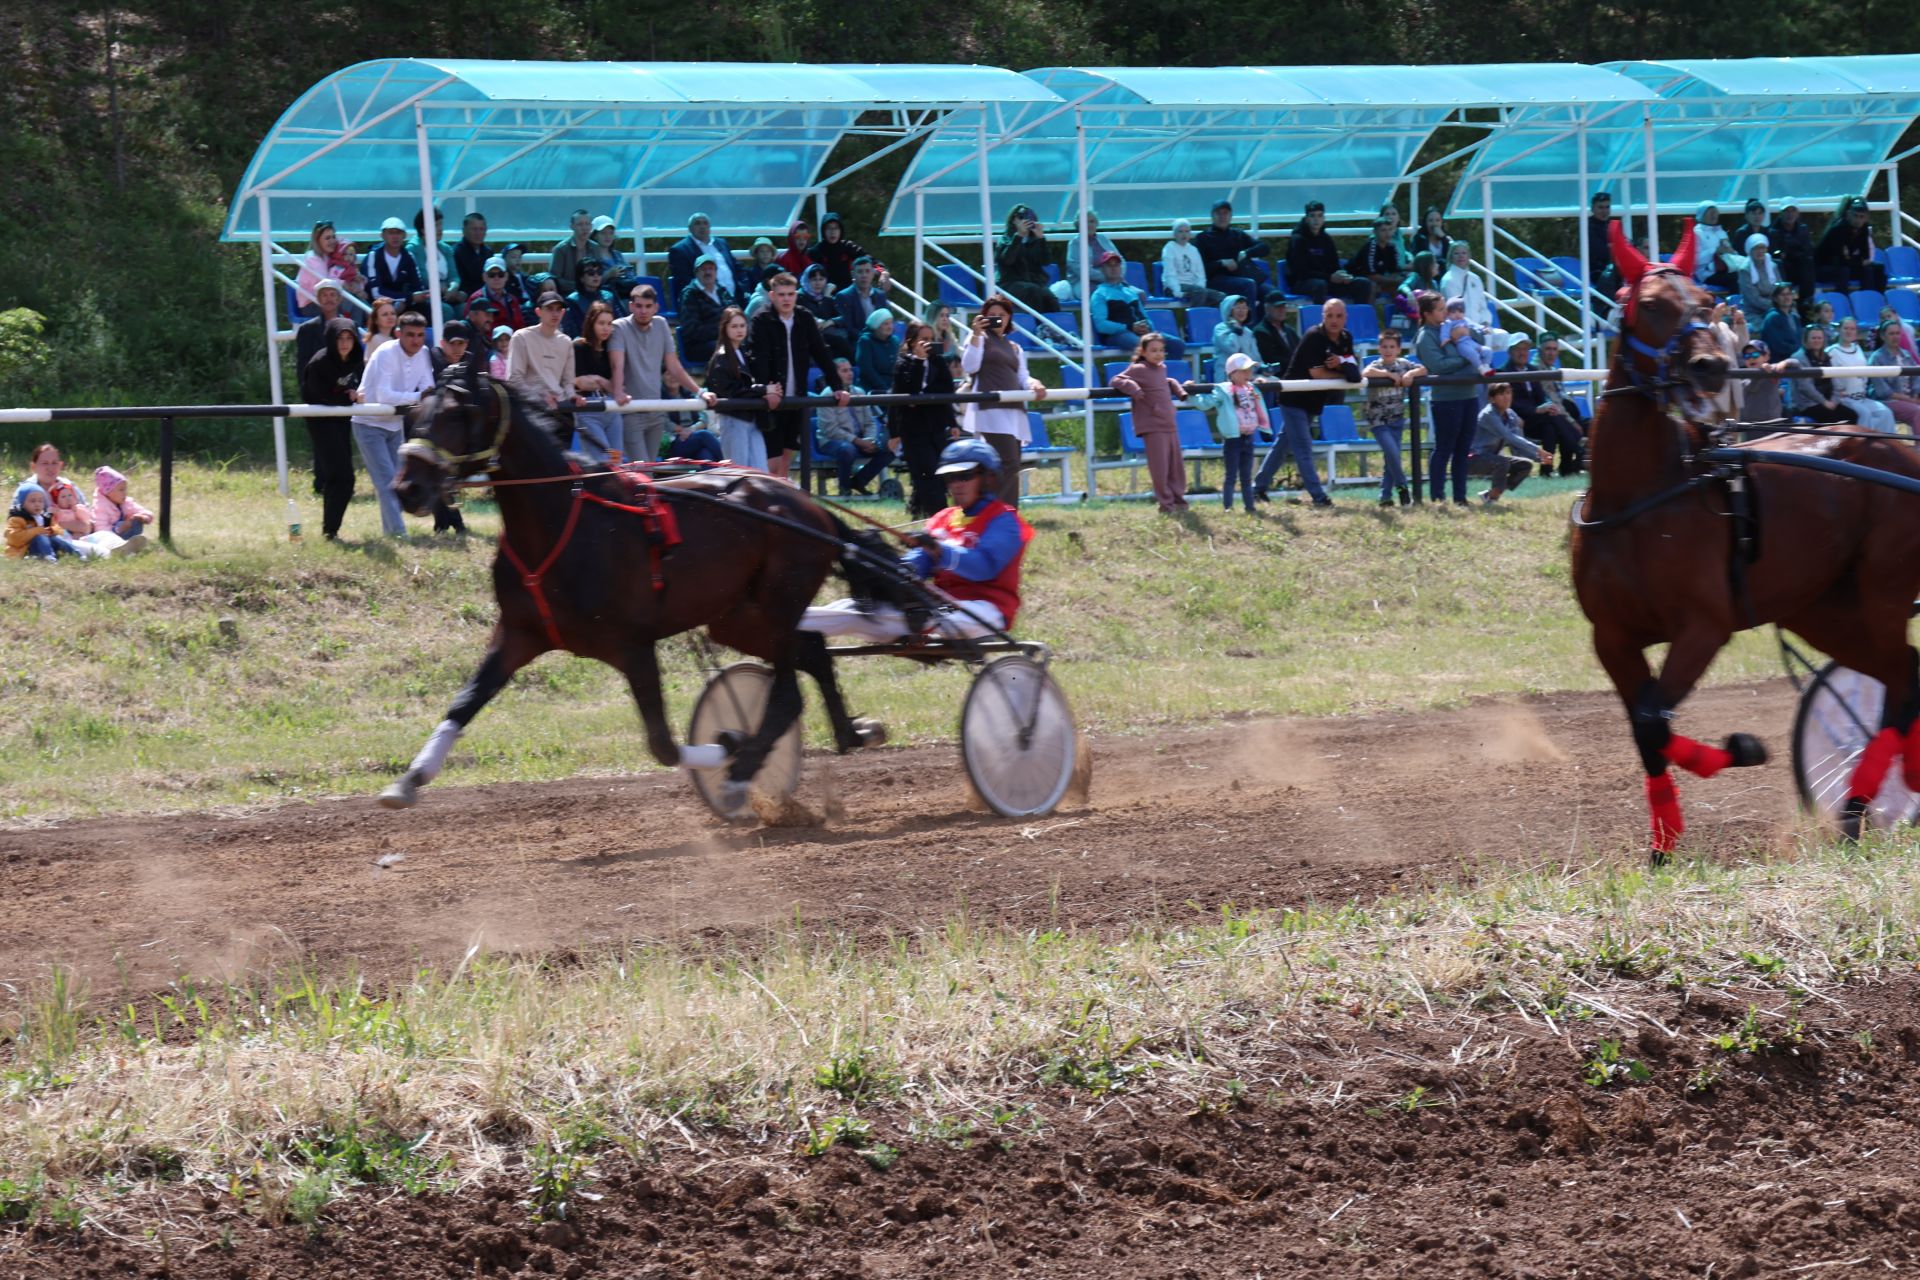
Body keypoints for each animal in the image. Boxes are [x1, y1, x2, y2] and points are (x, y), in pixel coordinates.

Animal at [380, 379, 890, 817]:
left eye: (457, 413)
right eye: (414, 415)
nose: (408, 488)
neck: (560, 523)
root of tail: (810, 509)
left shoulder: (633, 646)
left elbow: (662, 743)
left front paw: (726, 747)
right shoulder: (519, 633)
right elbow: (465, 701)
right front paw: (409, 779)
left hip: (776, 606)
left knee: (787, 693)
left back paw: (740, 775)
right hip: (739, 618)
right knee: (813, 653)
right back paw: (851, 733)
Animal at [1566, 220, 1920, 859]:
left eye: (1706, 300)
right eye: (1649, 304)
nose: (1709, 366)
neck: (1640, 497)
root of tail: (1900, 454)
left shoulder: (1703, 626)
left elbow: (1654, 719)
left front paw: (1742, 749)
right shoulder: (1612, 636)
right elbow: (1644, 726)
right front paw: (1663, 846)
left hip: (1882, 590)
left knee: (1902, 687)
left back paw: (1860, 806)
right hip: (1824, 610)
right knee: (1905, 671)